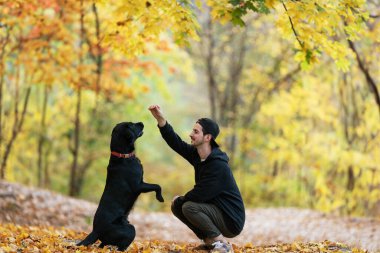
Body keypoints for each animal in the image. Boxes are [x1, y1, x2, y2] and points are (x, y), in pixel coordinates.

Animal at [77, 121, 165, 250]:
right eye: (131, 125)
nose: (141, 122)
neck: (123, 155)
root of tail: (95, 231)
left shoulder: (141, 183)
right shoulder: (138, 186)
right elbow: (157, 185)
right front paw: (160, 198)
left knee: (103, 245)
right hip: (129, 229)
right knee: (120, 246)